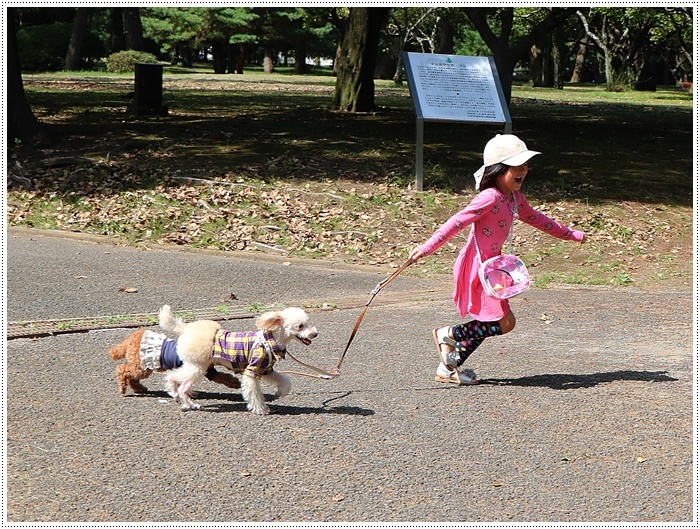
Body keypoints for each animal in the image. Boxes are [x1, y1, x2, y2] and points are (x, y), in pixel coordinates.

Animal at [158, 306, 318, 412]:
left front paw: (280, 392)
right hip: (198, 367)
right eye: (300, 326)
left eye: (308, 323)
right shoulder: (253, 370)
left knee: (176, 378)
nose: (315, 334)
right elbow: (253, 392)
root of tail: (185, 328)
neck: (269, 341)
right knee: (179, 383)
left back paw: (180, 397)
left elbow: (285, 380)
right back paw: (186, 401)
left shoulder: (266, 370)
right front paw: (260, 409)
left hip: (195, 366)